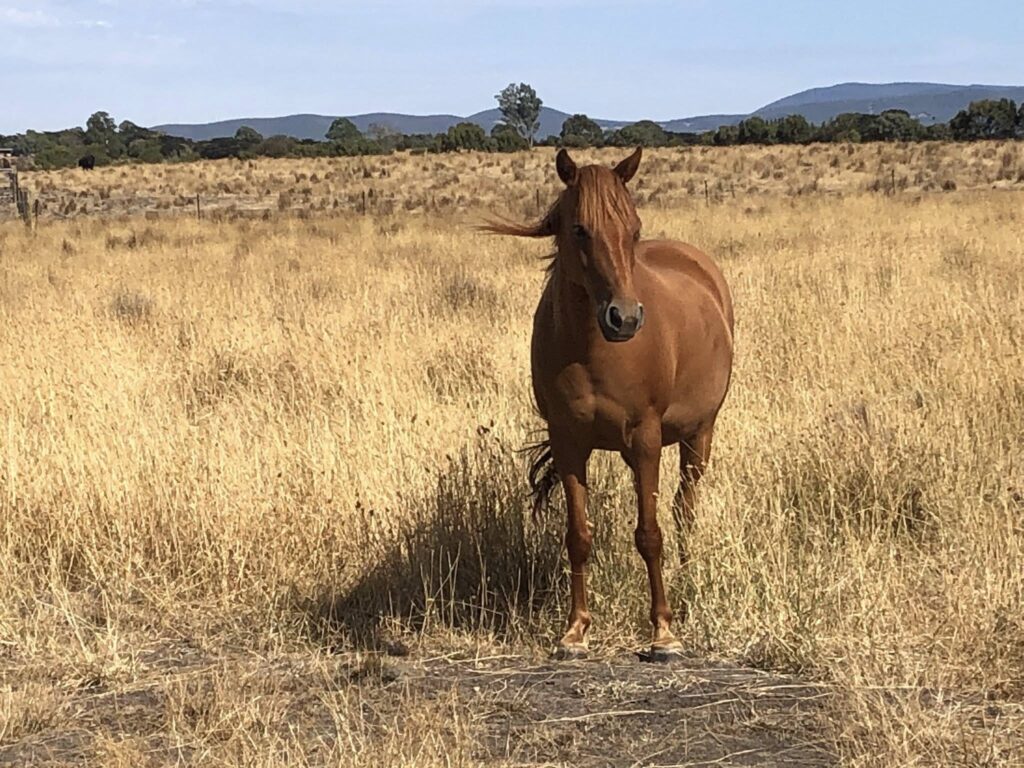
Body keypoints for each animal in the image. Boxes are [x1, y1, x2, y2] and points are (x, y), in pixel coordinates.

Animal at [485, 148, 734, 661]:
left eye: (634, 228)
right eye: (580, 229)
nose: (626, 318)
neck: (592, 350)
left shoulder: (646, 439)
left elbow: (650, 534)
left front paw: (663, 632)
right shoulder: (568, 443)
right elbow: (578, 536)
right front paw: (575, 632)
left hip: (699, 435)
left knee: (685, 509)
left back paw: (687, 580)